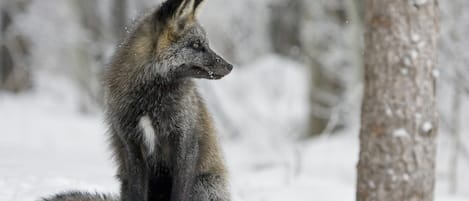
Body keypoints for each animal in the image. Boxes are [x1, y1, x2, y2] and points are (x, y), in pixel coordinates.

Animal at [41, 0, 231, 201]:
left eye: (205, 44)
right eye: (196, 44)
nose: (230, 66)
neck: (149, 102)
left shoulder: (185, 143)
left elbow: (180, 192)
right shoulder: (131, 146)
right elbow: (137, 192)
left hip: (203, 186)